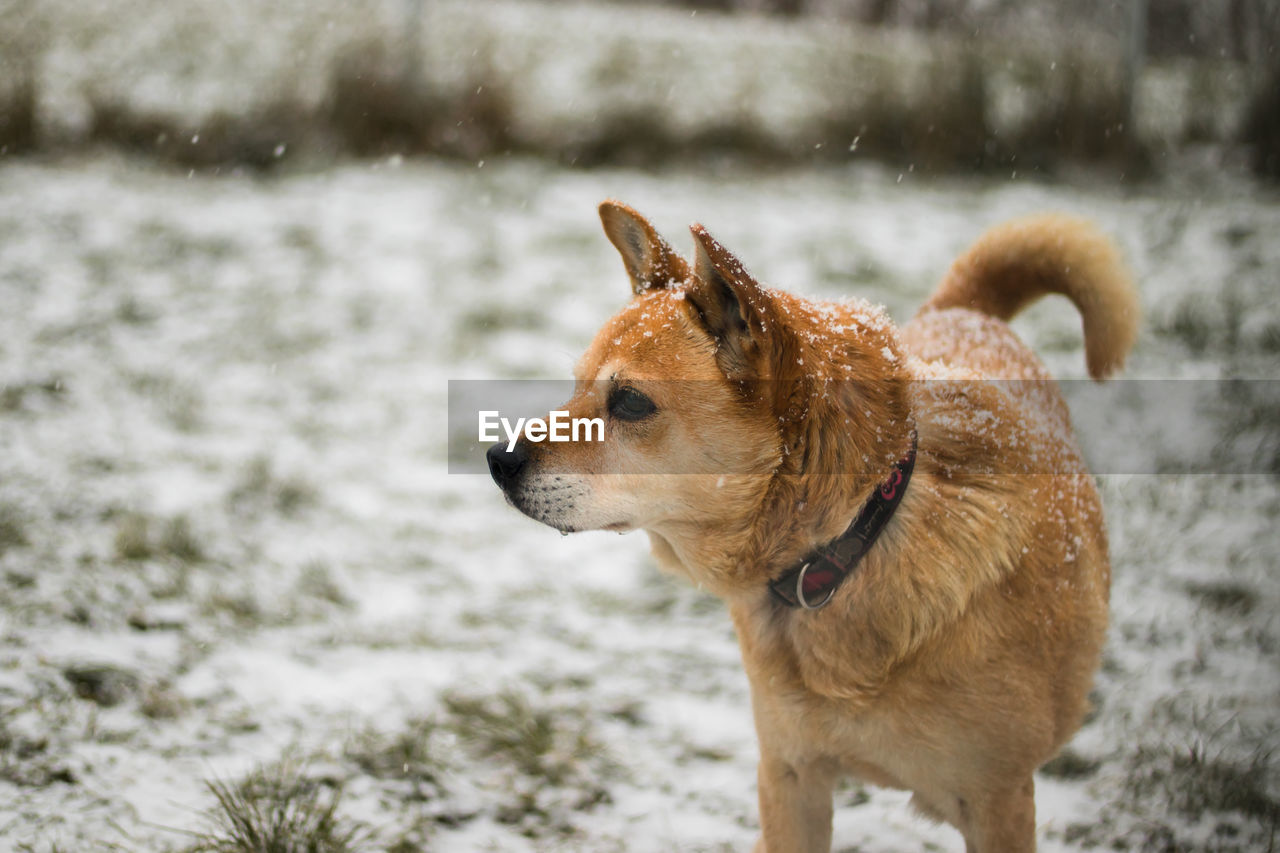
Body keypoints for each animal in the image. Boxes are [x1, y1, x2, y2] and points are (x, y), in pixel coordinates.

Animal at [483, 201, 1136, 850]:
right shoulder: (790, 776)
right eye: (577, 386)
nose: (498, 460)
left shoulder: (998, 798)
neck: (850, 542)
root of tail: (966, 314)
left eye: (631, 403)